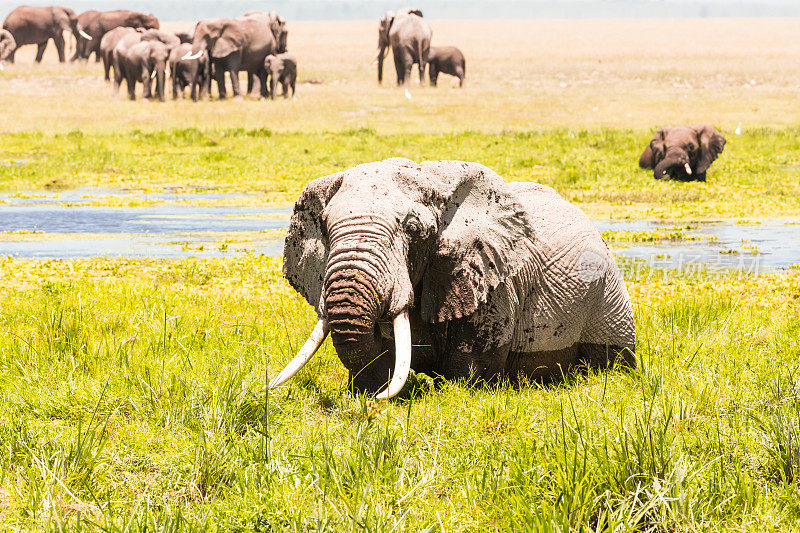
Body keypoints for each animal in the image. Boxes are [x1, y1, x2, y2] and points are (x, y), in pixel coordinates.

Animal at [272, 159, 636, 400]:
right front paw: (371, 392)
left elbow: (470, 370)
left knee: (612, 357)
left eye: (415, 230)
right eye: (323, 226)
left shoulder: (491, 282)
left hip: (607, 292)